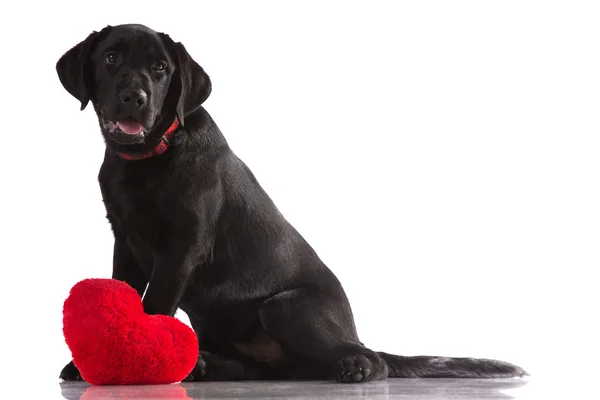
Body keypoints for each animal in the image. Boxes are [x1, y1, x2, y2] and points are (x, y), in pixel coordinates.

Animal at [55, 23, 524, 382]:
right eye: (111, 58)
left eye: (160, 69)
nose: (135, 97)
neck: (150, 156)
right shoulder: (124, 240)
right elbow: (123, 296)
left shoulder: (181, 246)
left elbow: (153, 306)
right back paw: (204, 366)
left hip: (287, 306)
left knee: (370, 358)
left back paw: (354, 366)